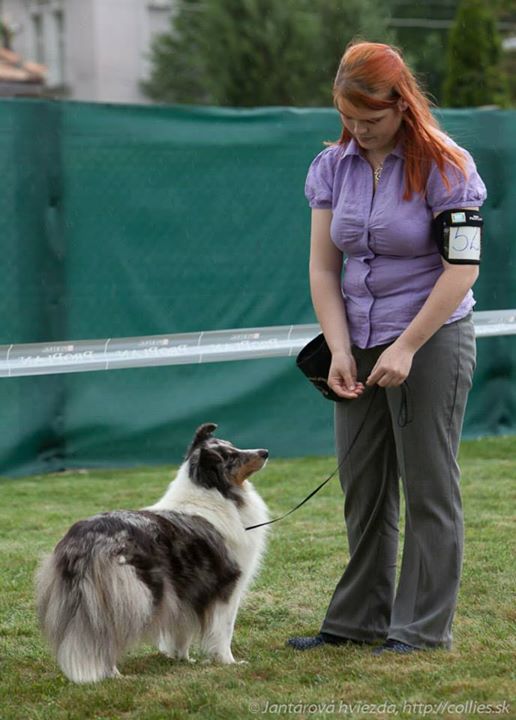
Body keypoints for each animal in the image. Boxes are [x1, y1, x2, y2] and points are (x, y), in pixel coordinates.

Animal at [35, 424, 270, 684]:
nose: (265, 452)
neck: (213, 492)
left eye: (233, 447)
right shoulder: (227, 587)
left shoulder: (184, 592)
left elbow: (181, 629)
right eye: (230, 456)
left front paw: (182, 659)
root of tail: (84, 540)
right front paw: (229, 663)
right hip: (132, 595)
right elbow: (223, 630)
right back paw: (113, 675)